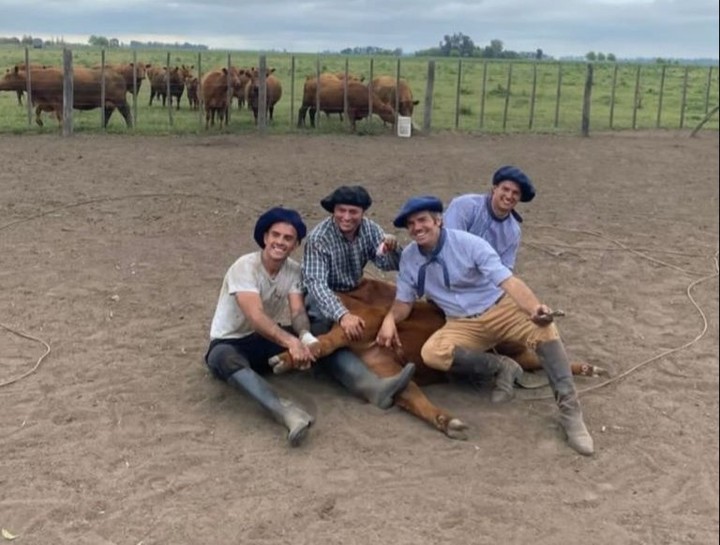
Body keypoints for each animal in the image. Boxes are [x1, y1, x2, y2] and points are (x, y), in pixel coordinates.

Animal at [0, 64, 132, 127]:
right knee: (108, 113)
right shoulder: (45, 102)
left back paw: (130, 126)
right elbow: (37, 110)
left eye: (7, 76)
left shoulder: (57, 102)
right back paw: (103, 126)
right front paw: (39, 122)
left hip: (120, 101)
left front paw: (62, 125)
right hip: (108, 103)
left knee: (126, 112)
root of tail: (119, 76)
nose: (0, 83)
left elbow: (59, 116)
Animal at [272, 278, 608, 440]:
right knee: (528, 360)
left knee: (534, 357)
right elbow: (413, 398)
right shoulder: (385, 367)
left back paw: (588, 368)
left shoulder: (369, 327)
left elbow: (327, 342)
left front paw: (285, 359)